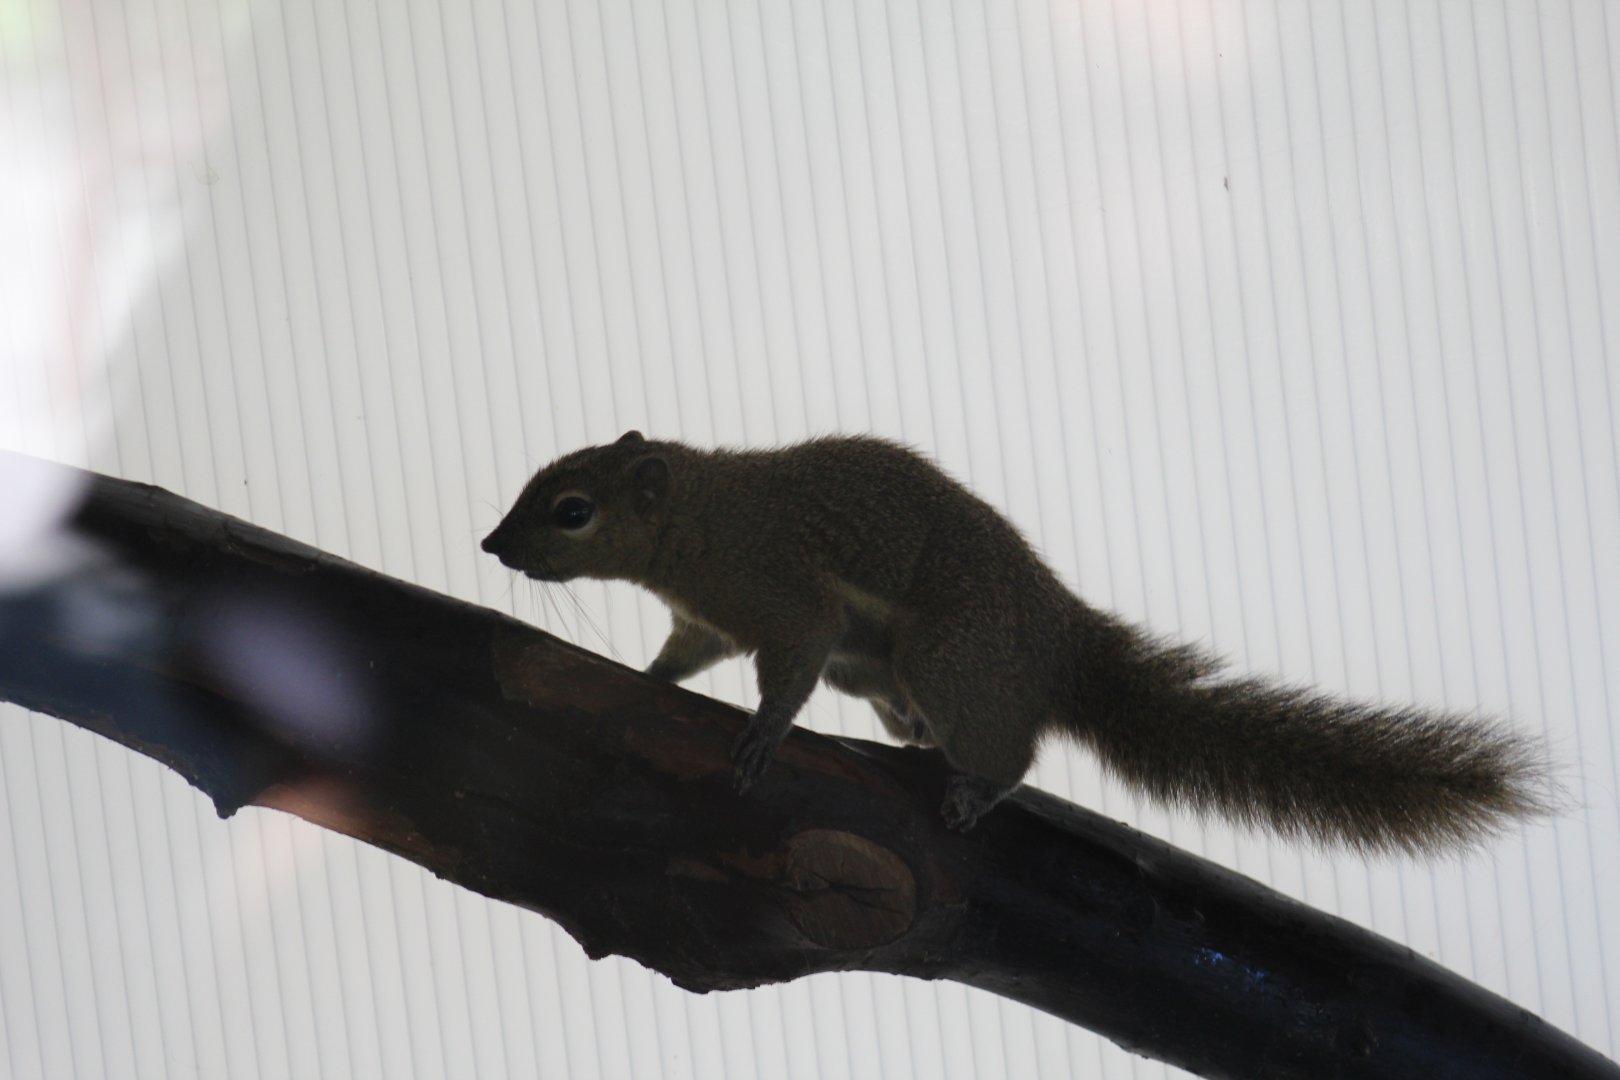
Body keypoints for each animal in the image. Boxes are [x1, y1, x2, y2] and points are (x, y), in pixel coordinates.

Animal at [481, 430, 1554, 852]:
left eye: (572, 510)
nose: (492, 546)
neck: (702, 523)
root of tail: (1059, 640)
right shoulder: (708, 618)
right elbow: (683, 656)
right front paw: (648, 675)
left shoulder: (785, 600)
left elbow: (786, 676)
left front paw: (759, 738)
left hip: (946, 656)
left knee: (1016, 753)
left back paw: (976, 786)